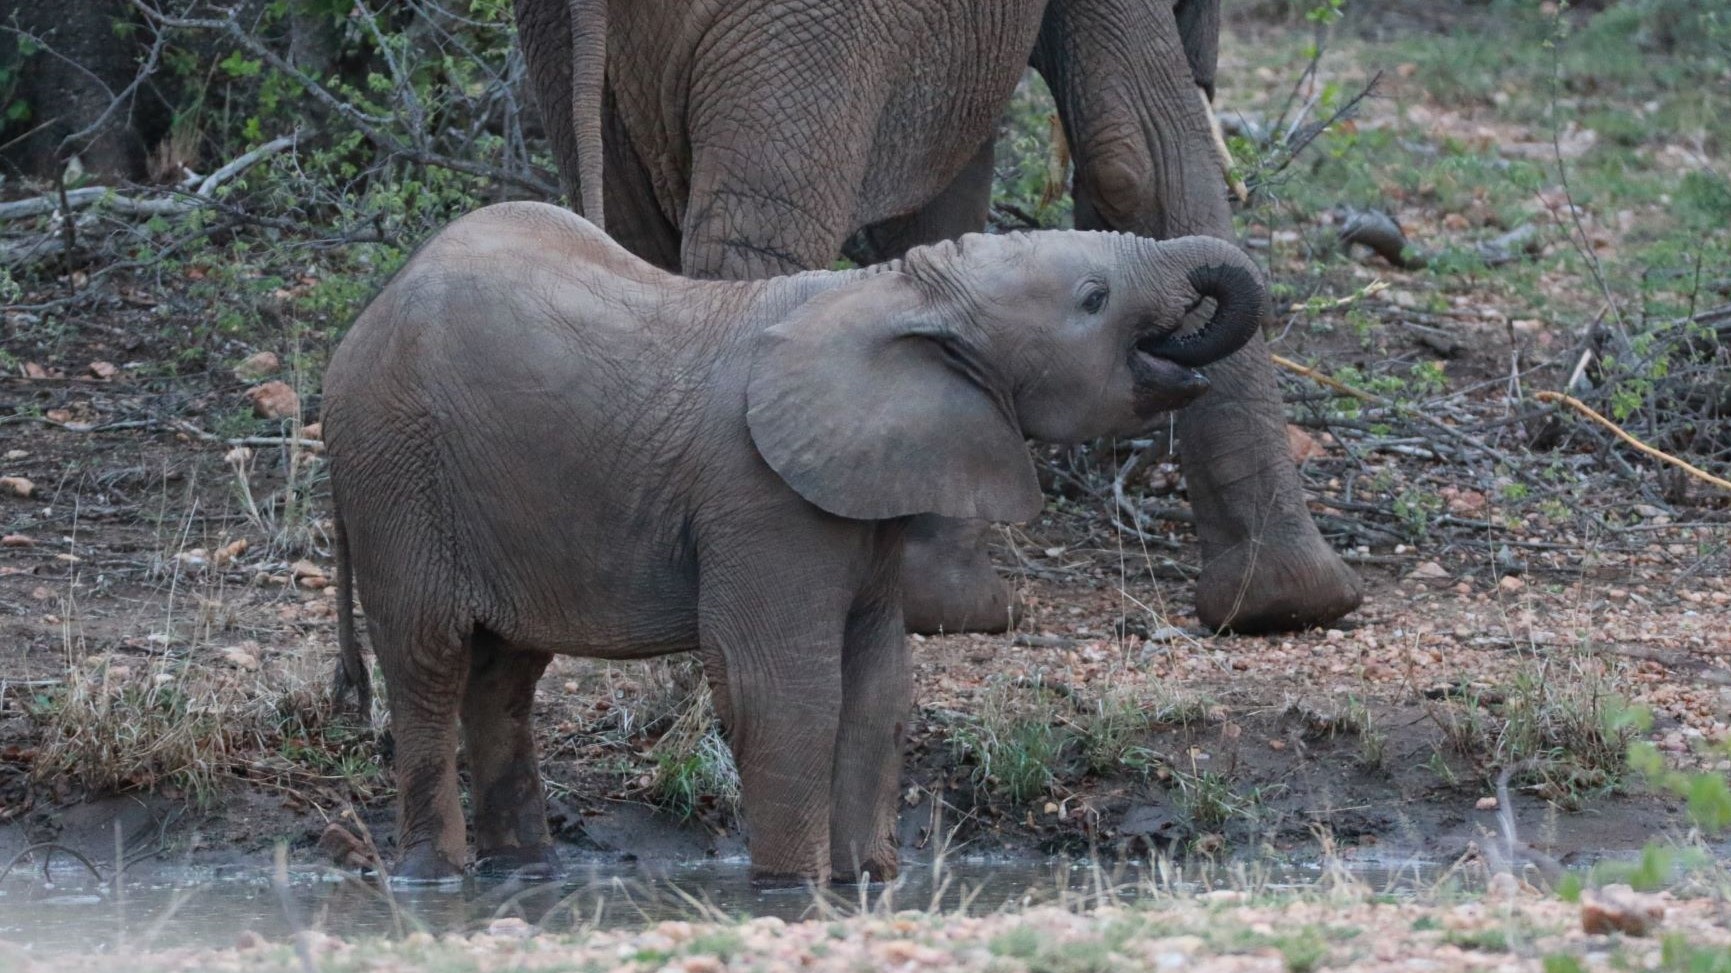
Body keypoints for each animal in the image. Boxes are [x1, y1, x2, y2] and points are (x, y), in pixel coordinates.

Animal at [323, 201, 1268, 882]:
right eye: (1094, 299)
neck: (900, 287)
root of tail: (354, 332)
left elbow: (879, 685)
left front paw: (867, 883)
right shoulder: (759, 495)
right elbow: (780, 688)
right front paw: (791, 887)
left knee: (504, 676)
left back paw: (525, 874)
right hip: (397, 470)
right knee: (429, 664)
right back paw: (435, 877)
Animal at [509, 0, 1363, 635]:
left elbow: (941, 209)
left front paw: (937, 601)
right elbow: (1142, 151)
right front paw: (1288, 601)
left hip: (557, 35)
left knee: (636, 241)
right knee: (755, 243)